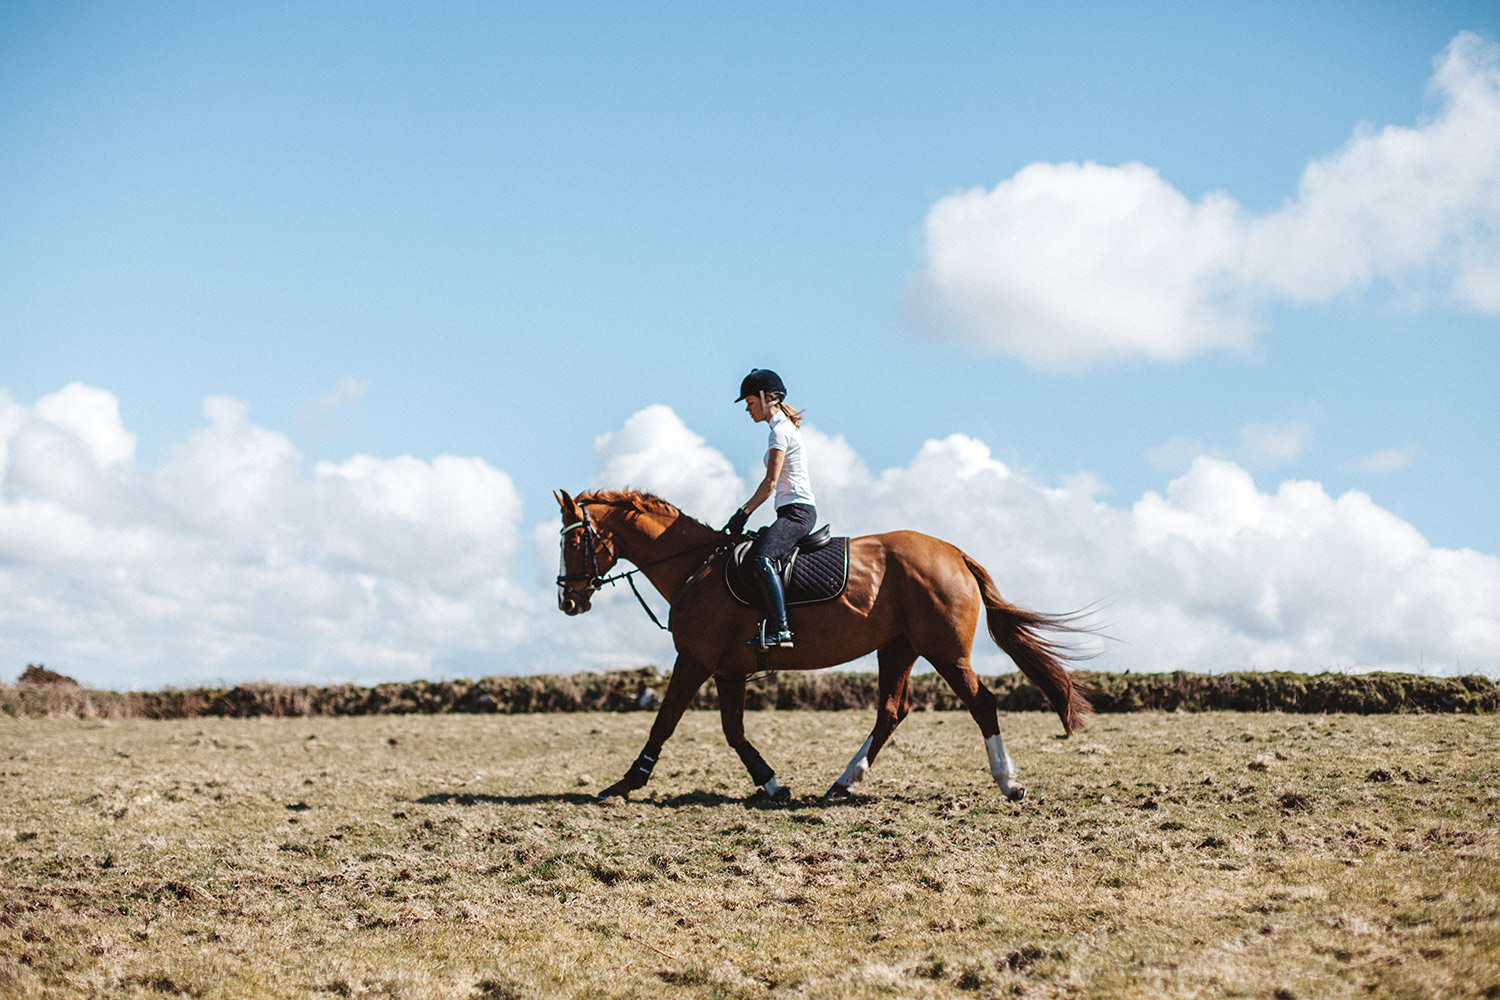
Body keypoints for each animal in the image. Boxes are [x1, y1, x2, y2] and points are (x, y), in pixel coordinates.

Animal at [555, 488, 1093, 803]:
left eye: (573, 541)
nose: (568, 601)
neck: (695, 568)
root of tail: (954, 553)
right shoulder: (728, 670)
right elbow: (733, 731)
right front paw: (771, 783)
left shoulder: (695, 659)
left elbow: (664, 722)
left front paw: (626, 783)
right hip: (897, 648)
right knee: (891, 712)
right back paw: (843, 782)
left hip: (944, 651)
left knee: (982, 703)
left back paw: (1008, 782)